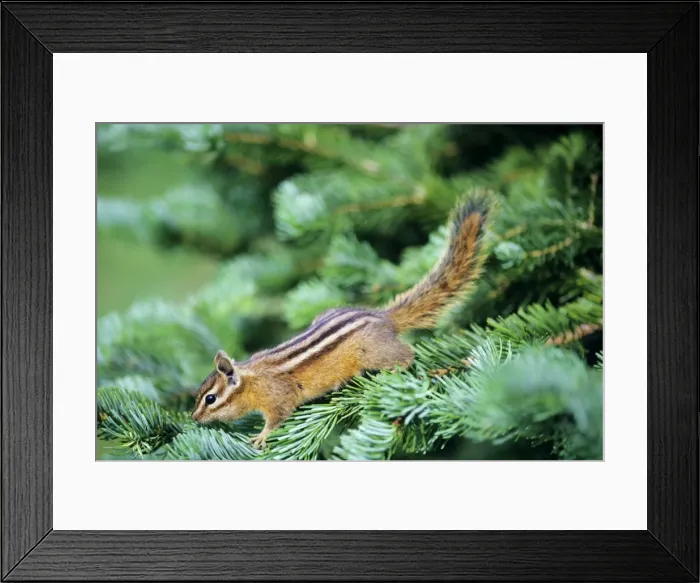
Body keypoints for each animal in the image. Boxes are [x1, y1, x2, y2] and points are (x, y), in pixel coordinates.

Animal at [191, 194, 491, 449]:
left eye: (210, 398)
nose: (193, 417)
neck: (251, 380)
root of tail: (382, 317)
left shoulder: (278, 395)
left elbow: (277, 417)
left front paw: (261, 436)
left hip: (374, 353)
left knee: (407, 354)